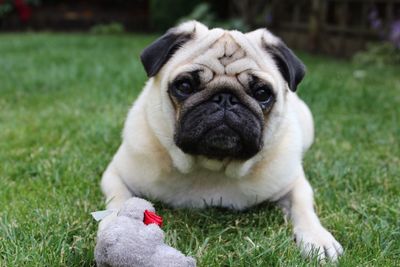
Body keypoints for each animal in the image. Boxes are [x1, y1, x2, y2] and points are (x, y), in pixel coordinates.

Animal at [98, 21, 342, 264]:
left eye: (262, 93)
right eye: (184, 86)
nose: (225, 98)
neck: (211, 165)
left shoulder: (292, 181)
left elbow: (303, 206)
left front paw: (317, 239)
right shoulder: (116, 174)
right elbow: (119, 201)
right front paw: (114, 228)